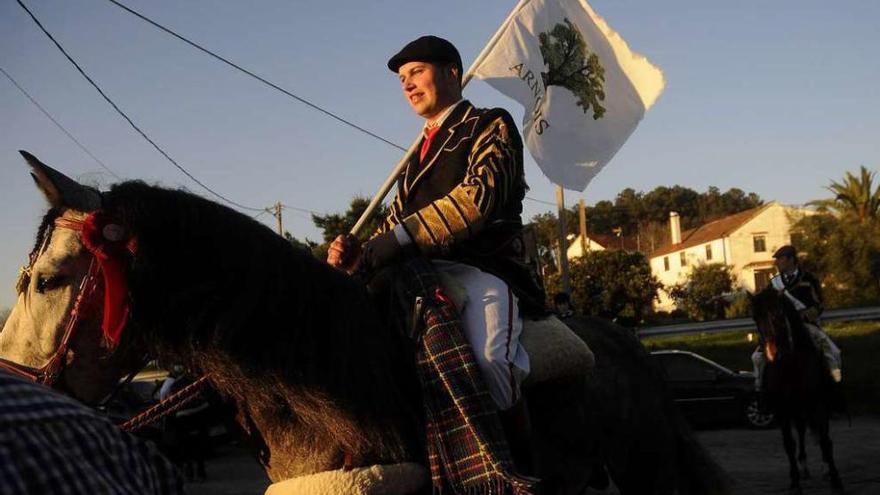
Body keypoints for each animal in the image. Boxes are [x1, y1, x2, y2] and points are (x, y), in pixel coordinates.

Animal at [748, 288, 844, 494]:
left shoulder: (818, 406)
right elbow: (789, 445)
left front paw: (835, 480)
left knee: (820, 436)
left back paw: (825, 469)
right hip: (797, 410)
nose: (770, 352)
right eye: (754, 317)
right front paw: (795, 482)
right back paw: (804, 468)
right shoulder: (782, 411)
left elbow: (825, 441)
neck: (790, 366)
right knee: (800, 432)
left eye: (778, 313)